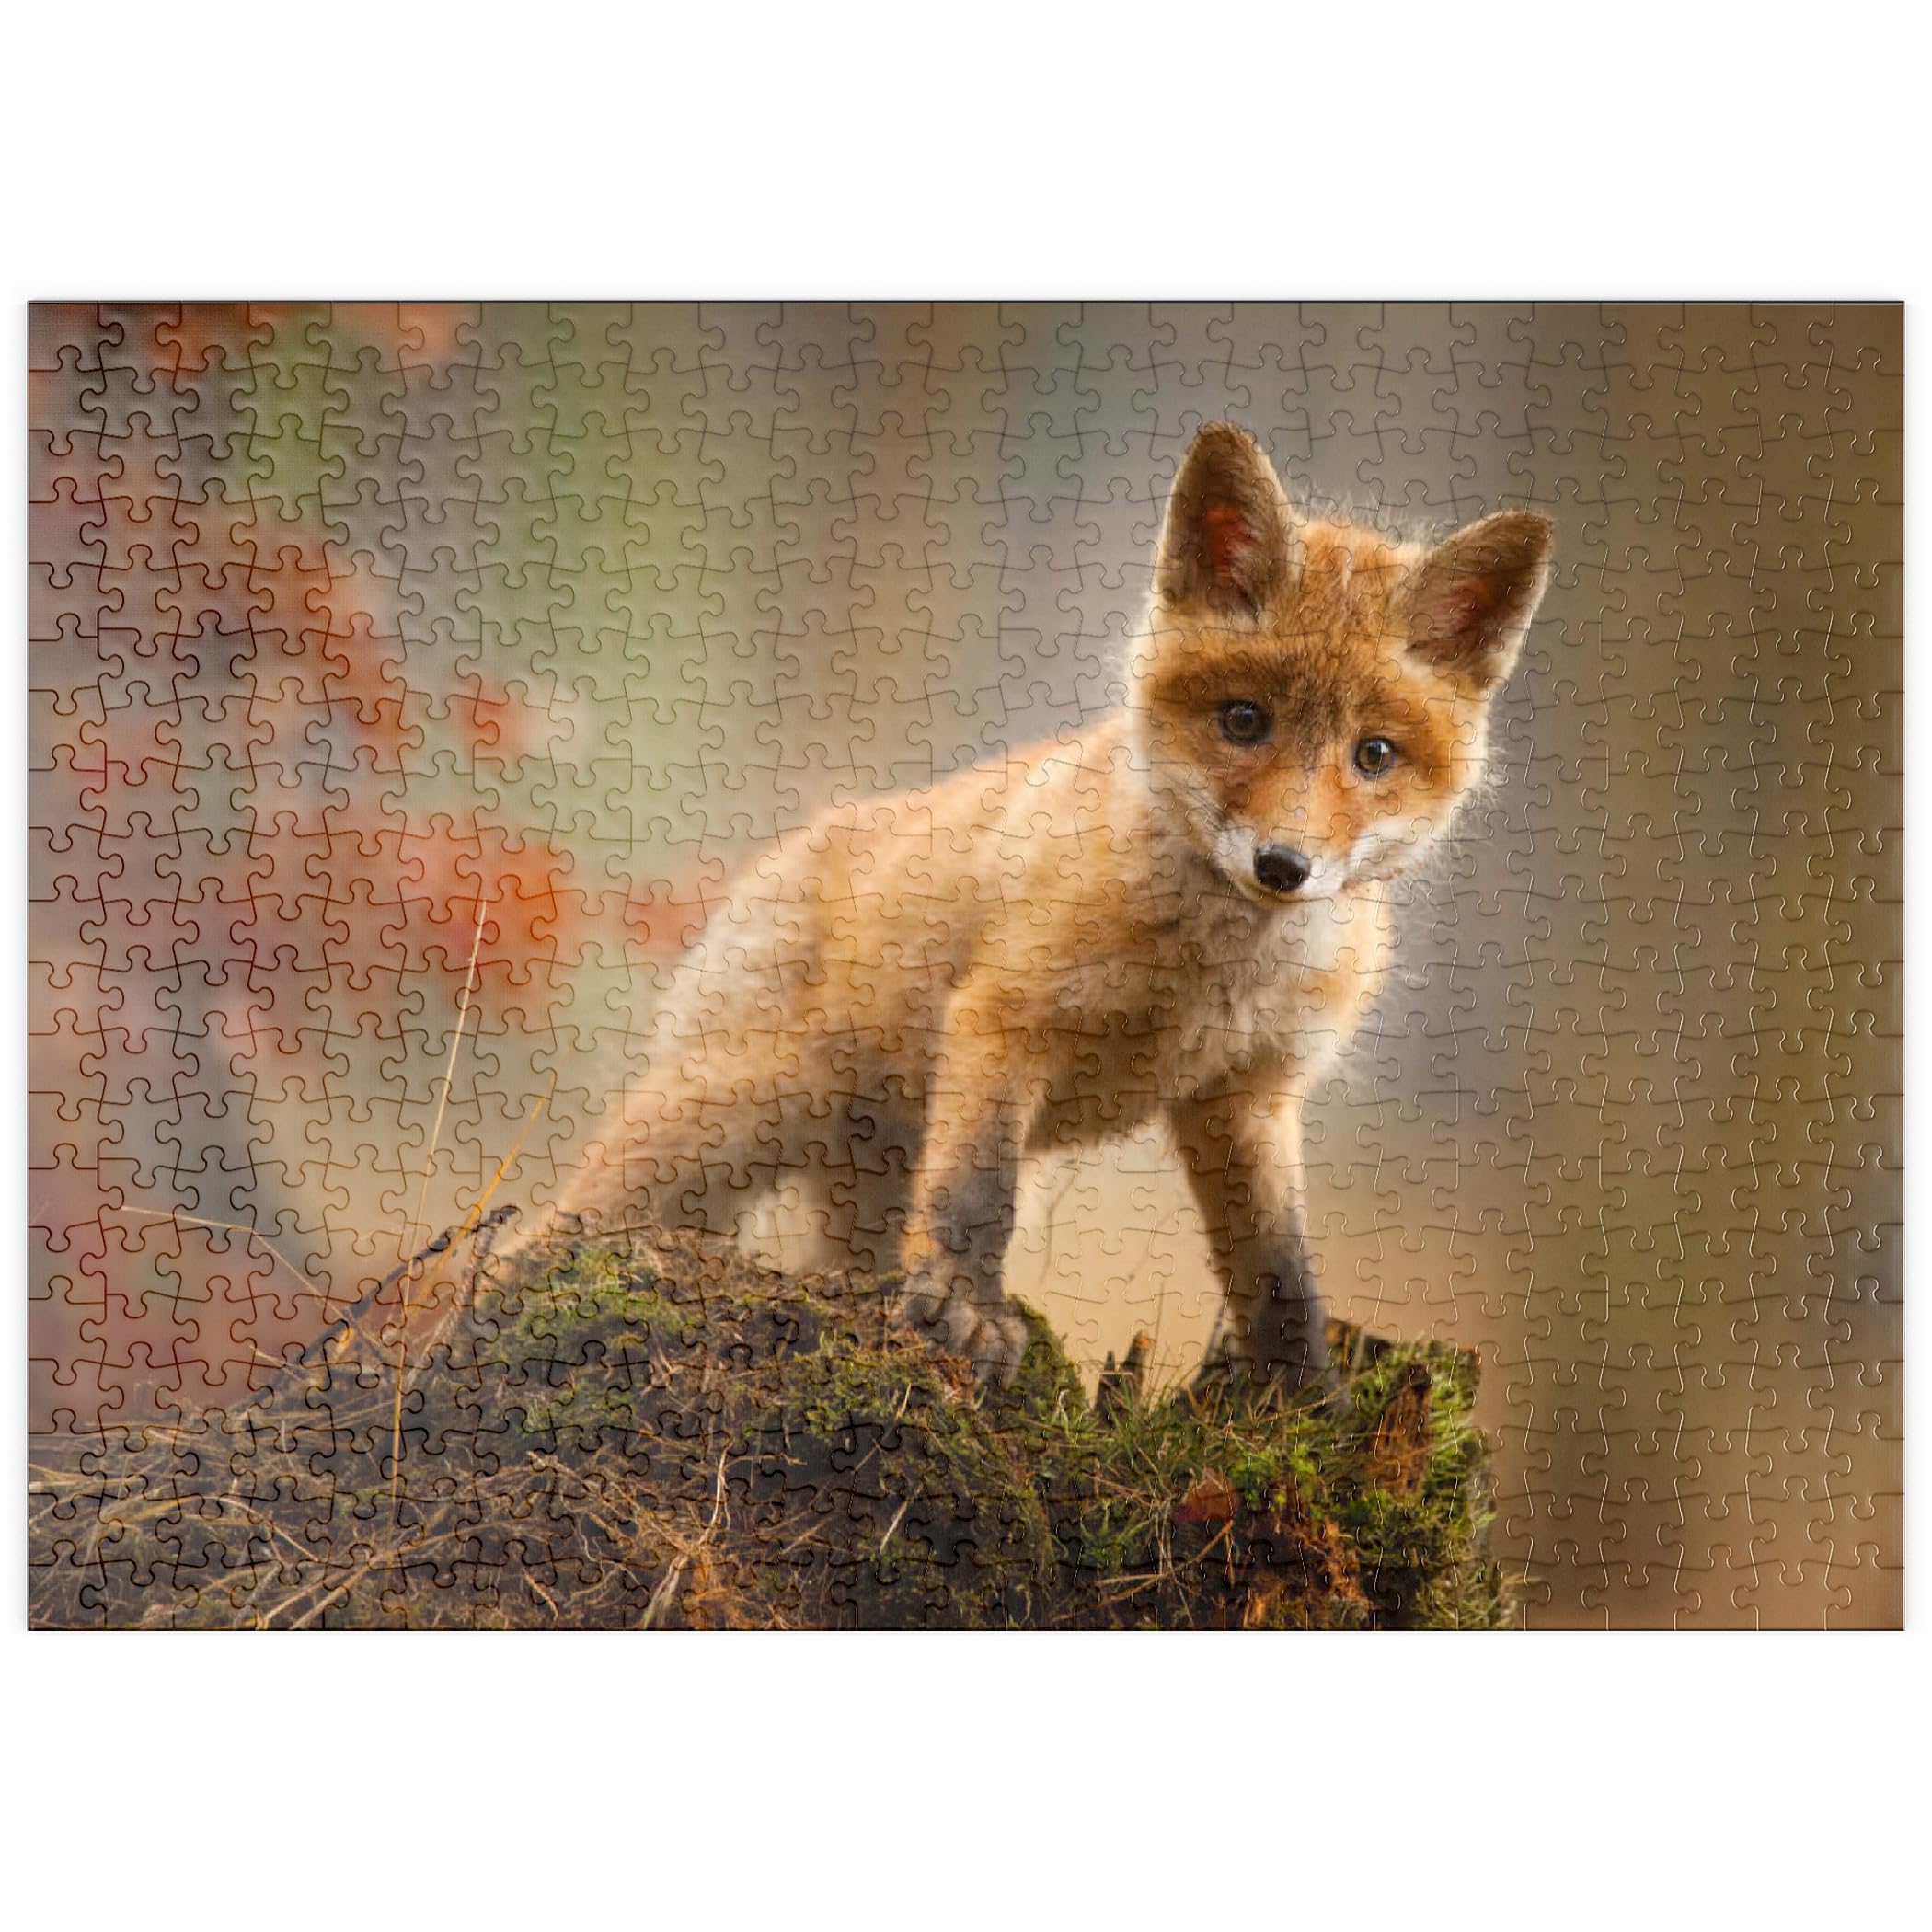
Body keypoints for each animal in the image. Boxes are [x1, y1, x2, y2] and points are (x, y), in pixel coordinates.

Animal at [545, 423, 1554, 1392]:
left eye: (1374, 755)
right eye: (1243, 721)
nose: (1282, 865)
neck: (1212, 975)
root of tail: (793, 846)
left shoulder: (1247, 1097)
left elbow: (1281, 1278)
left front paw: (1303, 1400)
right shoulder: (1004, 1021)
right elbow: (976, 1197)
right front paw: (964, 1310)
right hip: (734, 1111)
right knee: (550, 1228)